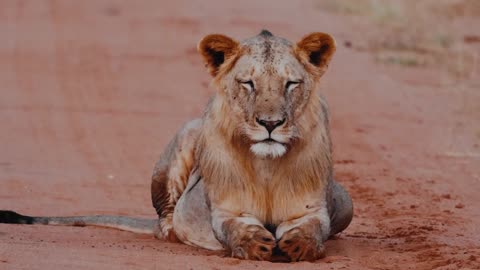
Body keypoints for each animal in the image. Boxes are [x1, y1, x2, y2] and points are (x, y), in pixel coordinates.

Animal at [0, 30, 352, 262]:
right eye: (248, 83)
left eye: (291, 84)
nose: (270, 124)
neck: (266, 164)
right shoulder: (226, 209)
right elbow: (235, 227)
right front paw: (254, 244)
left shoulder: (311, 209)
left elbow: (311, 229)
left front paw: (300, 246)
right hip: (187, 134)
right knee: (165, 218)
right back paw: (178, 232)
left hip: (345, 200)